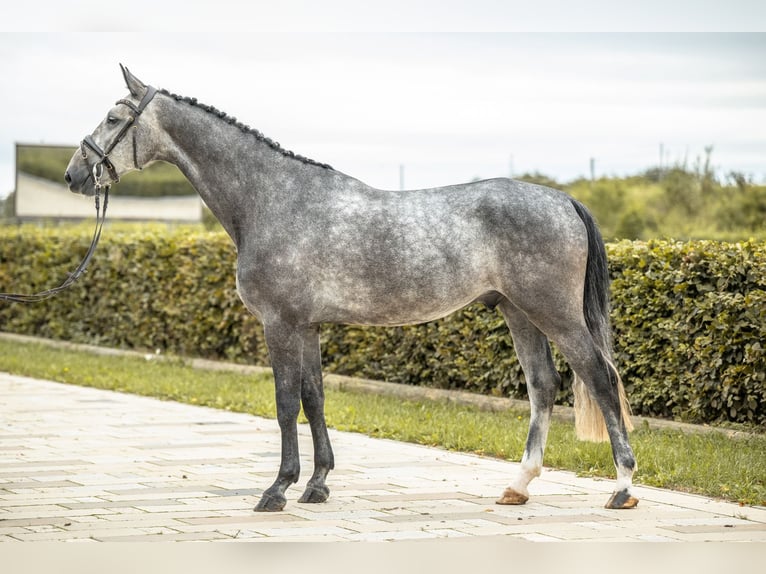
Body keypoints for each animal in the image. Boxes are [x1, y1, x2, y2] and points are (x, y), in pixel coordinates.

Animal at [66, 66, 640, 512]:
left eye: (114, 119)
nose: (75, 174)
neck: (273, 199)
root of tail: (563, 199)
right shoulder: (308, 326)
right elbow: (314, 398)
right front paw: (317, 485)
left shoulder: (280, 324)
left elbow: (284, 403)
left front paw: (277, 489)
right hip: (519, 312)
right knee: (543, 386)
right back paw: (518, 486)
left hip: (554, 313)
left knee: (600, 378)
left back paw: (622, 488)